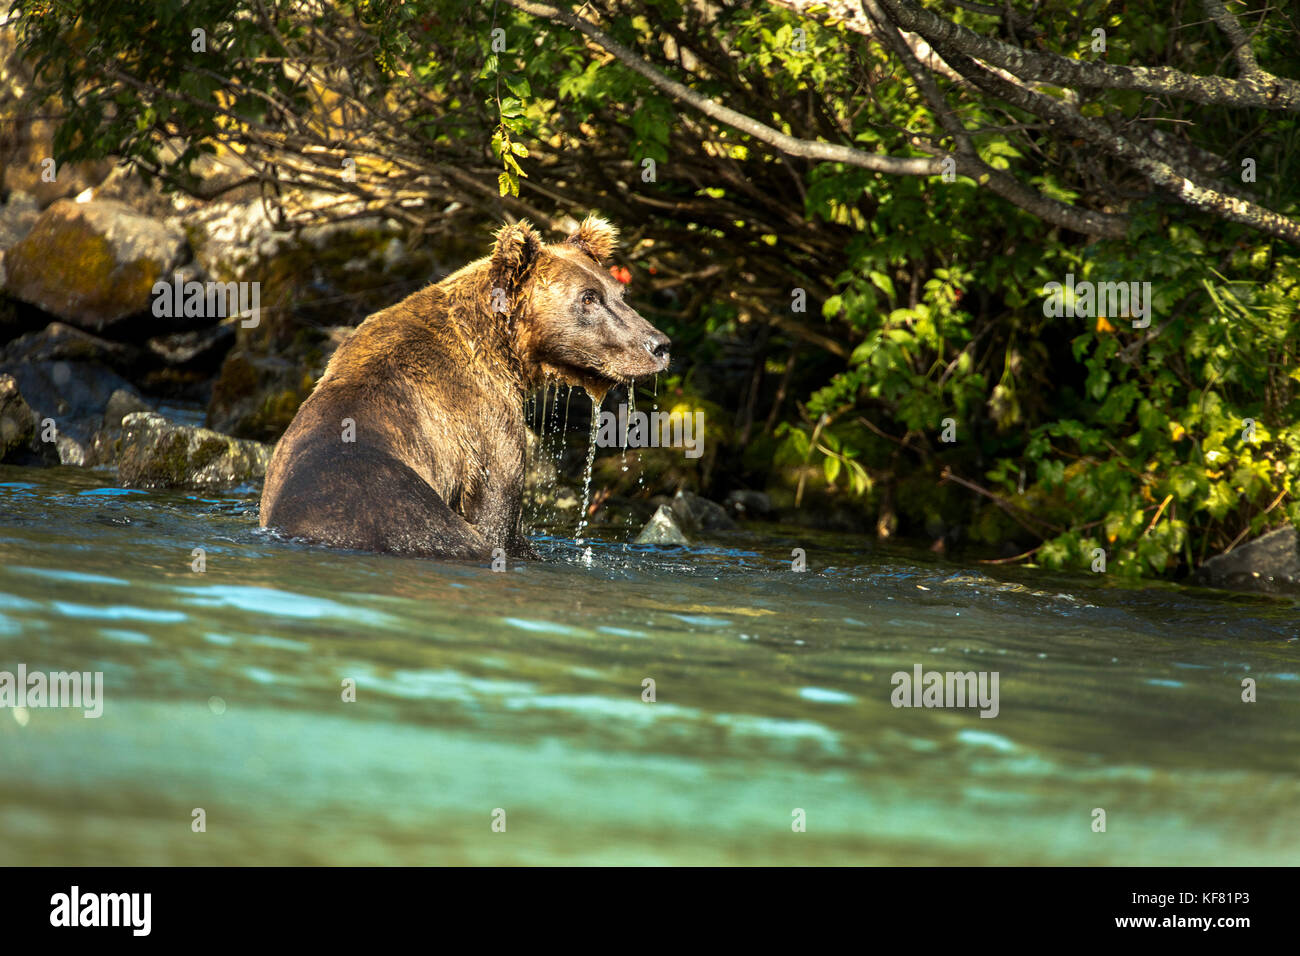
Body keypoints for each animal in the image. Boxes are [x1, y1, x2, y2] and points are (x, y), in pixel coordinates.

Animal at [260, 217, 676, 561]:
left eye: (619, 293)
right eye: (588, 298)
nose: (659, 345)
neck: (507, 353)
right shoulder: (485, 426)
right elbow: (499, 516)